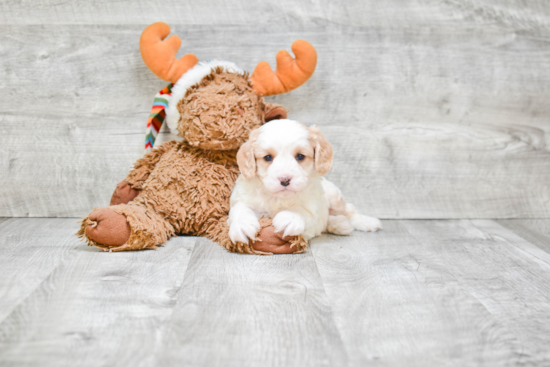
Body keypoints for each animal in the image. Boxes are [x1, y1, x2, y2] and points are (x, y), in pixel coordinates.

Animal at [226, 121, 382, 246]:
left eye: (300, 156)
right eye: (268, 157)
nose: (285, 179)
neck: (277, 198)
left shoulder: (313, 209)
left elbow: (301, 210)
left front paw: (289, 217)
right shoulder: (243, 198)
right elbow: (240, 209)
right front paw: (242, 225)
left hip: (334, 195)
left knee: (349, 210)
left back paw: (365, 222)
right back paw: (340, 224)